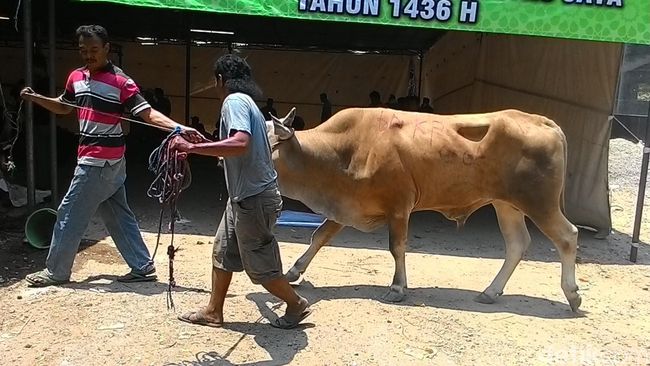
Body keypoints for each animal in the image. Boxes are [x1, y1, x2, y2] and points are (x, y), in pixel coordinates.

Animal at [266, 106, 580, 312]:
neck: (344, 148)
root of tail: (542, 121)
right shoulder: (346, 207)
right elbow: (319, 237)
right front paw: (293, 272)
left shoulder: (398, 206)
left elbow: (397, 247)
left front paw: (397, 288)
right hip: (507, 205)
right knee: (517, 244)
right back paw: (490, 292)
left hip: (540, 203)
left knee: (567, 236)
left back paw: (572, 294)